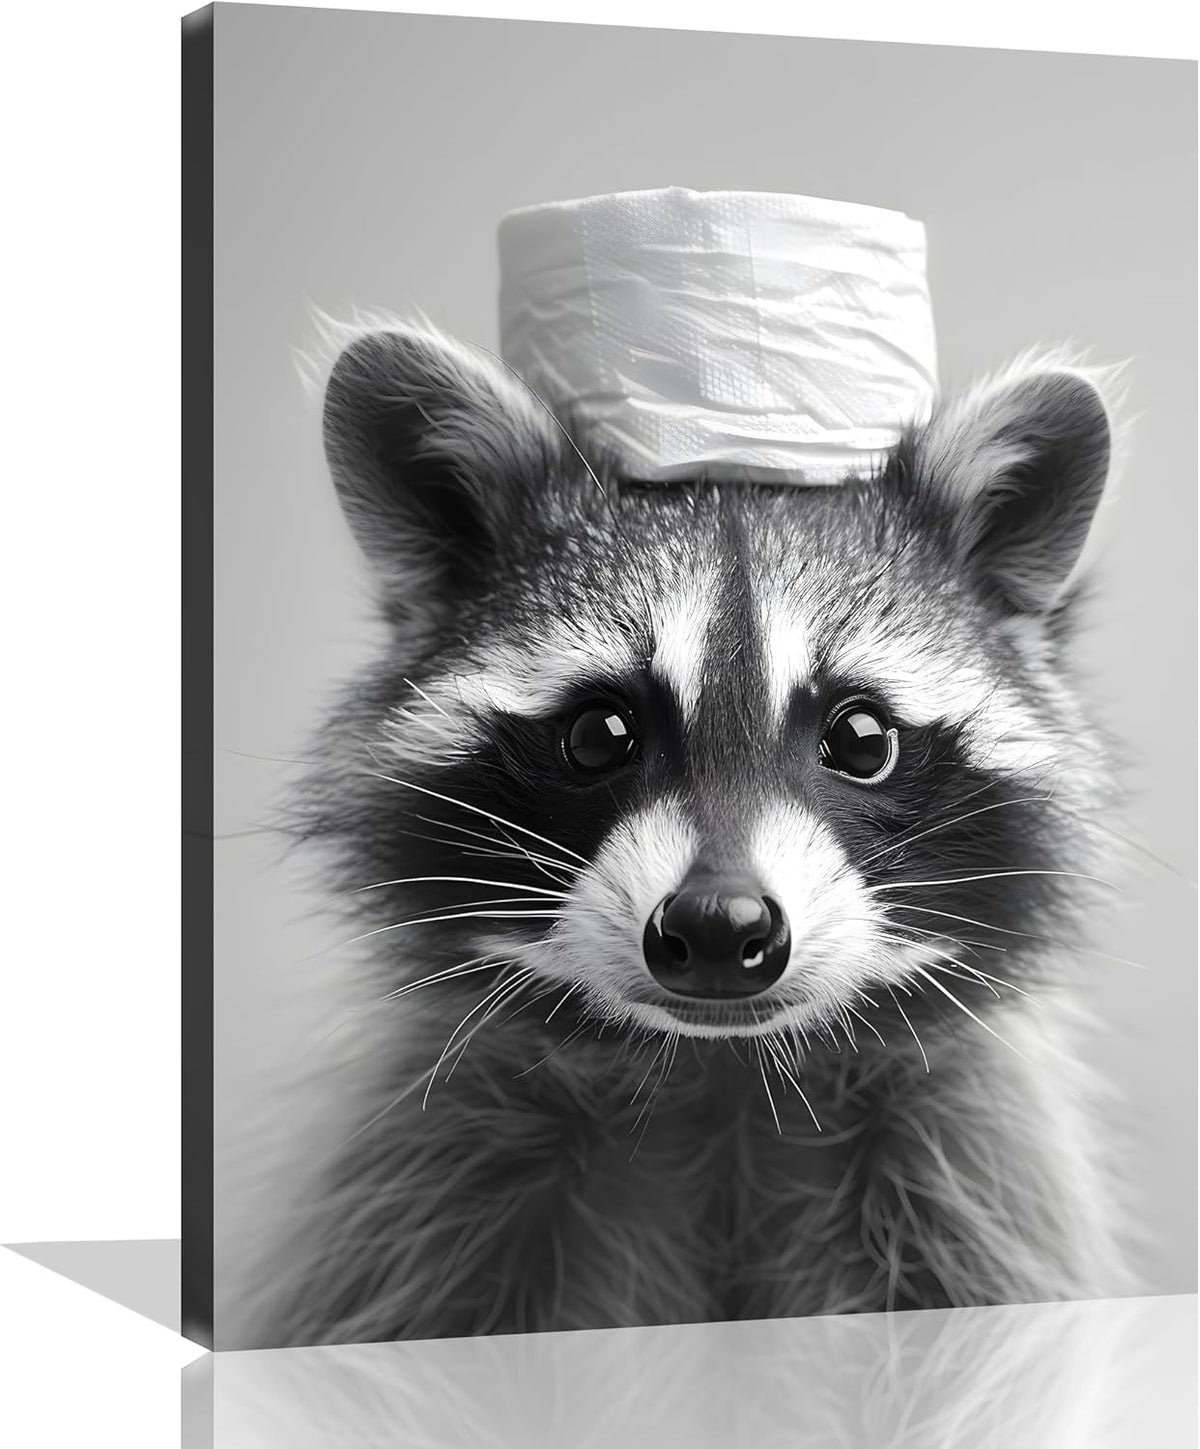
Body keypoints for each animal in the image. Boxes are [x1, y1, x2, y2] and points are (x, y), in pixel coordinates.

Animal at [255, 320, 1130, 1347]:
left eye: (861, 739)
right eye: (600, 733)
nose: (720, 925)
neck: (722, 1075)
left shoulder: (966, 1182)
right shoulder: (428, 1192)